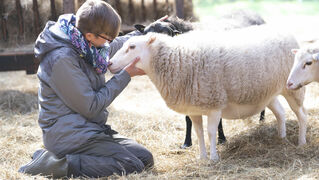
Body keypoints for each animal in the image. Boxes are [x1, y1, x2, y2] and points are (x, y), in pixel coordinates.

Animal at [109, 24, 308, 161]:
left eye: (132, 47)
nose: (109, 63)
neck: (179, 59)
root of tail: (284, 31)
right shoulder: (193, 109)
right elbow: (198, 133)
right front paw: (202, 156)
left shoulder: (214, 104)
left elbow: (211, 132)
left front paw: (213, 158)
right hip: (269, 92)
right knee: (281, 113)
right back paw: (281, 137)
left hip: (293, 89)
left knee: (302, 115)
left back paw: (301, 142)